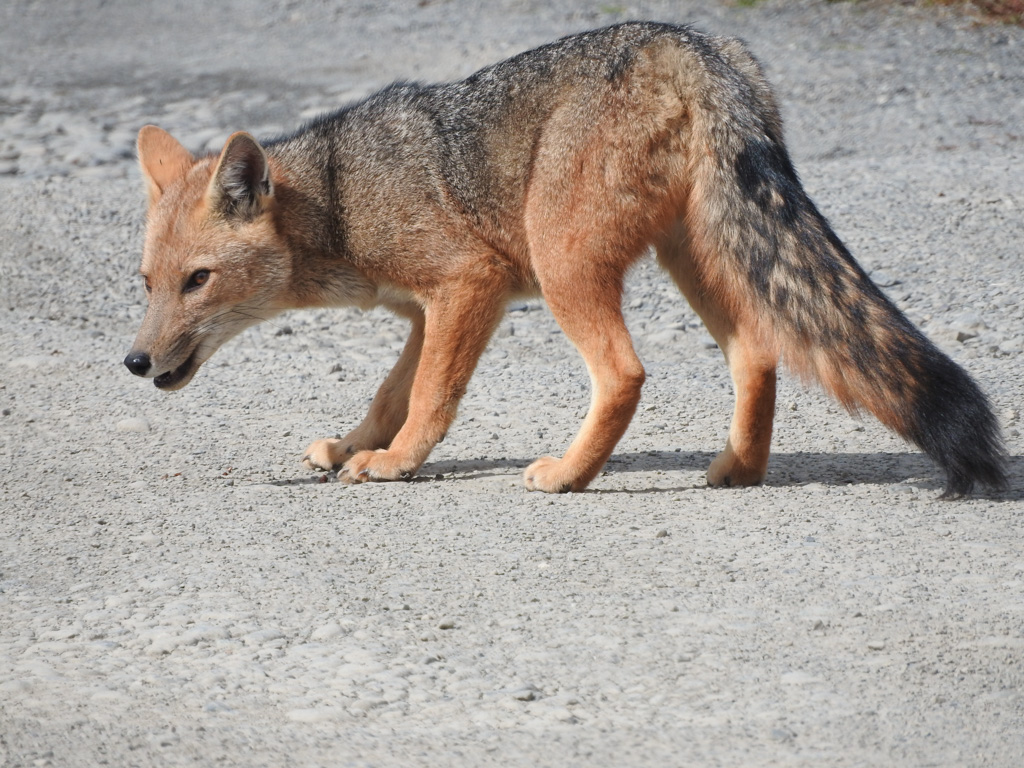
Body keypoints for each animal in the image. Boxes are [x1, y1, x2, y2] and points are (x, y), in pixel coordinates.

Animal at [121, 20, 1007, 499]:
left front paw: (397, 464)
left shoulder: (467, 286)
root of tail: (690, 47)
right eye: (148, 284)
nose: (133, 361)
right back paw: (737, 468)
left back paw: (569, 475)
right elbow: (390, 393)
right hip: (694, 258)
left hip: (563, 267)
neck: (337, 195)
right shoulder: (426, 311)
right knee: (758, 350)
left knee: (625, 373)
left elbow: (430, 398)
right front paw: (352, 447)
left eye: (198, 281)